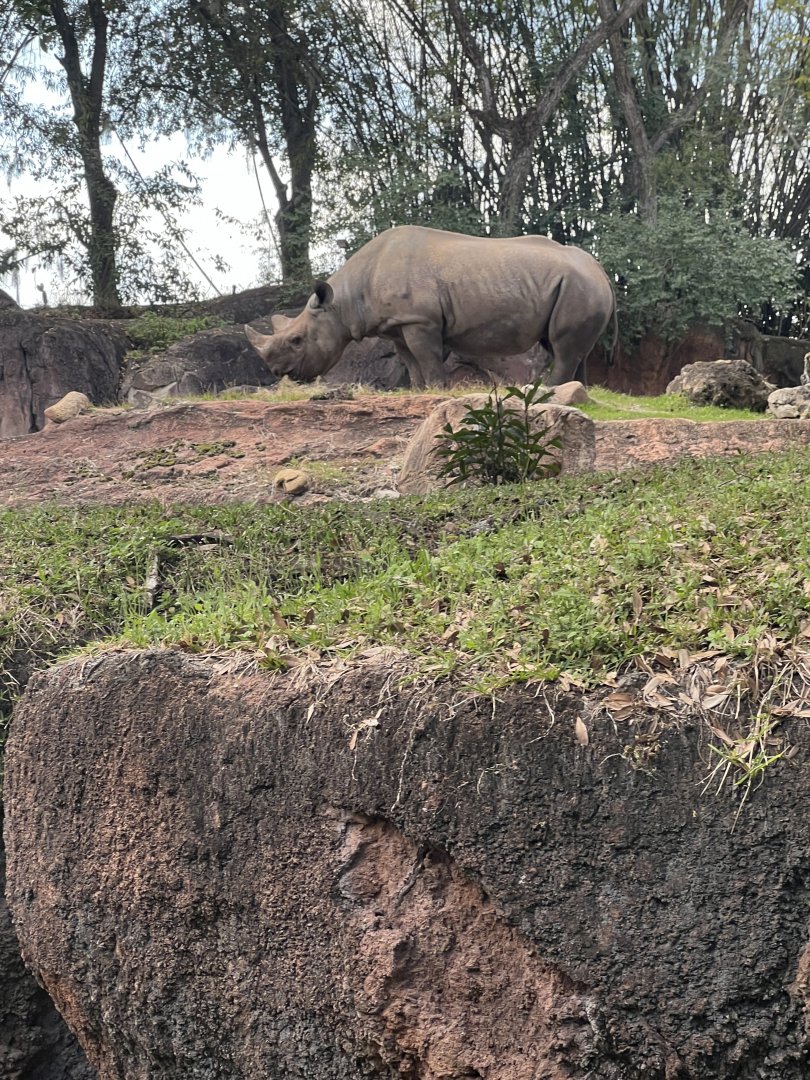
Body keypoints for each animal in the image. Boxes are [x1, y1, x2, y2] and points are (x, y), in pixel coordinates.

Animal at [245, 225, 616, 389]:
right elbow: (410, 362)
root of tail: (601, 270)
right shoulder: (396, 325)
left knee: (563, 348)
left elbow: (427, 358)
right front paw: (419, 390)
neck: (343, 301)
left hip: (579, 286)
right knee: (565, 346)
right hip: (574, 286)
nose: (278, 373)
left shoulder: (419, 320)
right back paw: (575, 390)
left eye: (297, 340)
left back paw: (549, 390)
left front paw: (438, 390)